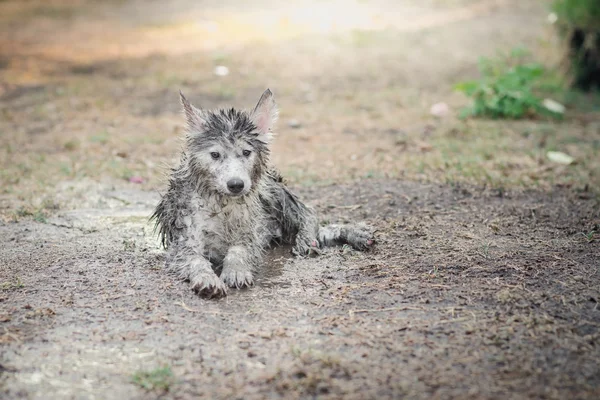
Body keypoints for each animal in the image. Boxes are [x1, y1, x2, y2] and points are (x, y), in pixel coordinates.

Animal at [152, 90, 372, 296]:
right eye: (214, 154)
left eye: (246, 152)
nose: (236, 184)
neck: (222, 203)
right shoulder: (184, 240)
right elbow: (196, 260)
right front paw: (207, 279)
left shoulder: (251, 232)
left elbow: (238, 250)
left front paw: (236, 270)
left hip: (273, 191)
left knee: (309, 213)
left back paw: (312, 237)